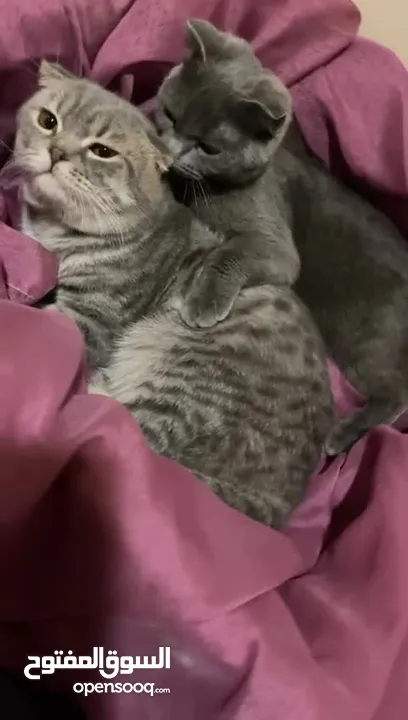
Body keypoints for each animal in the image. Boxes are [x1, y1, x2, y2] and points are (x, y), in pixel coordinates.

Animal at [11, 62, 334, 528]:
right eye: (48, 120)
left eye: (102, 151)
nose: (57, 151)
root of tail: (281, 504)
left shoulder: (91, 317)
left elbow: (53, 320)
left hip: (177, 386)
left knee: (131, 433)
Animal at [156, 19, 408, 458]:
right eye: (171, 114)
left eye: (208, 147)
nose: (171, 155)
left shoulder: (277, 246)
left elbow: (231, 252)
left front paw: (203, 303)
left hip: (365, 337)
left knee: (397, 393)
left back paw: (342, 437)